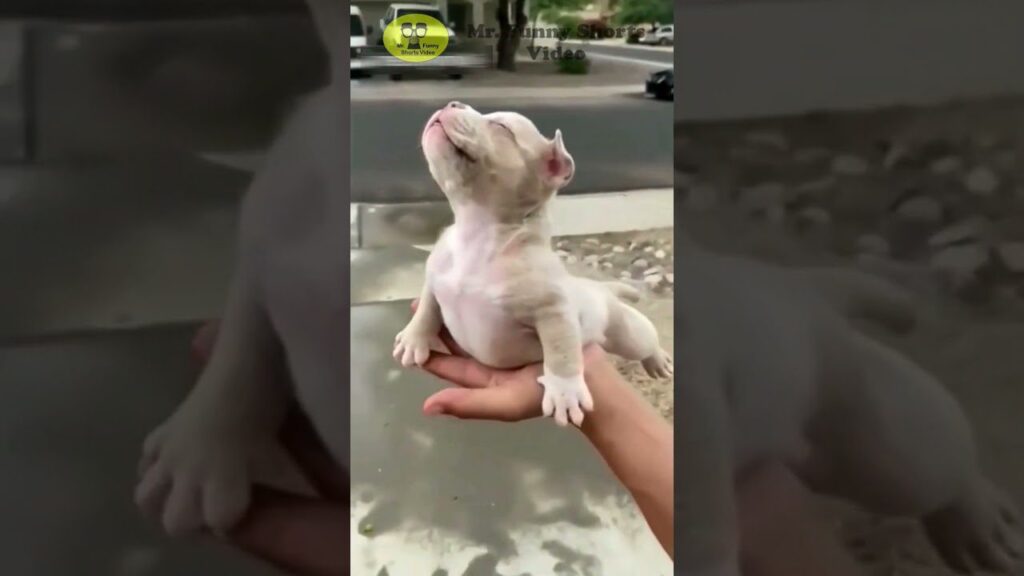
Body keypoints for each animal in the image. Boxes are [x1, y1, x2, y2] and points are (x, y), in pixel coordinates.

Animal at [391, 101, 671, 426]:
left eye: (501, 127)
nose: (453, 103)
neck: (478, 233)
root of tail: (598, 288)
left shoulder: (554, 311)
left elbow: (562, 351)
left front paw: (564, 391)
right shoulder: (435, 277)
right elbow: (427, 306)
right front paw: (414, 338)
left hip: (625, 331)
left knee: (643, 340)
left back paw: (657, 359)